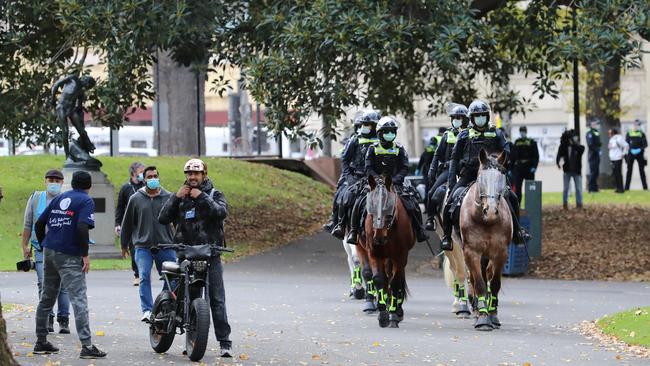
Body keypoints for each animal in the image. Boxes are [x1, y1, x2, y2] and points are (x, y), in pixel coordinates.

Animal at [354, 174, 416, 328]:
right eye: (371, 206)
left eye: (388, 206)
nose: (379, 237)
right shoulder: (374, 253)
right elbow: (378, 279)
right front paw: (383, 314)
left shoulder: (400, 256)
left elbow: (395, 283)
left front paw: (393, 315)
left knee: (397, 278)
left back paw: (398, 310)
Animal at [456, 149, 512, 332]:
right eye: (481, 178)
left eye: (502, 176)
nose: (491, 211)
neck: (486, 221)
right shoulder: (471, 252)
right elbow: (479, 284)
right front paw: (483, 318)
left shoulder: (501, 253)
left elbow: (494, 284)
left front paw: (493, 315)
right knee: (474, 279)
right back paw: (475, 310)